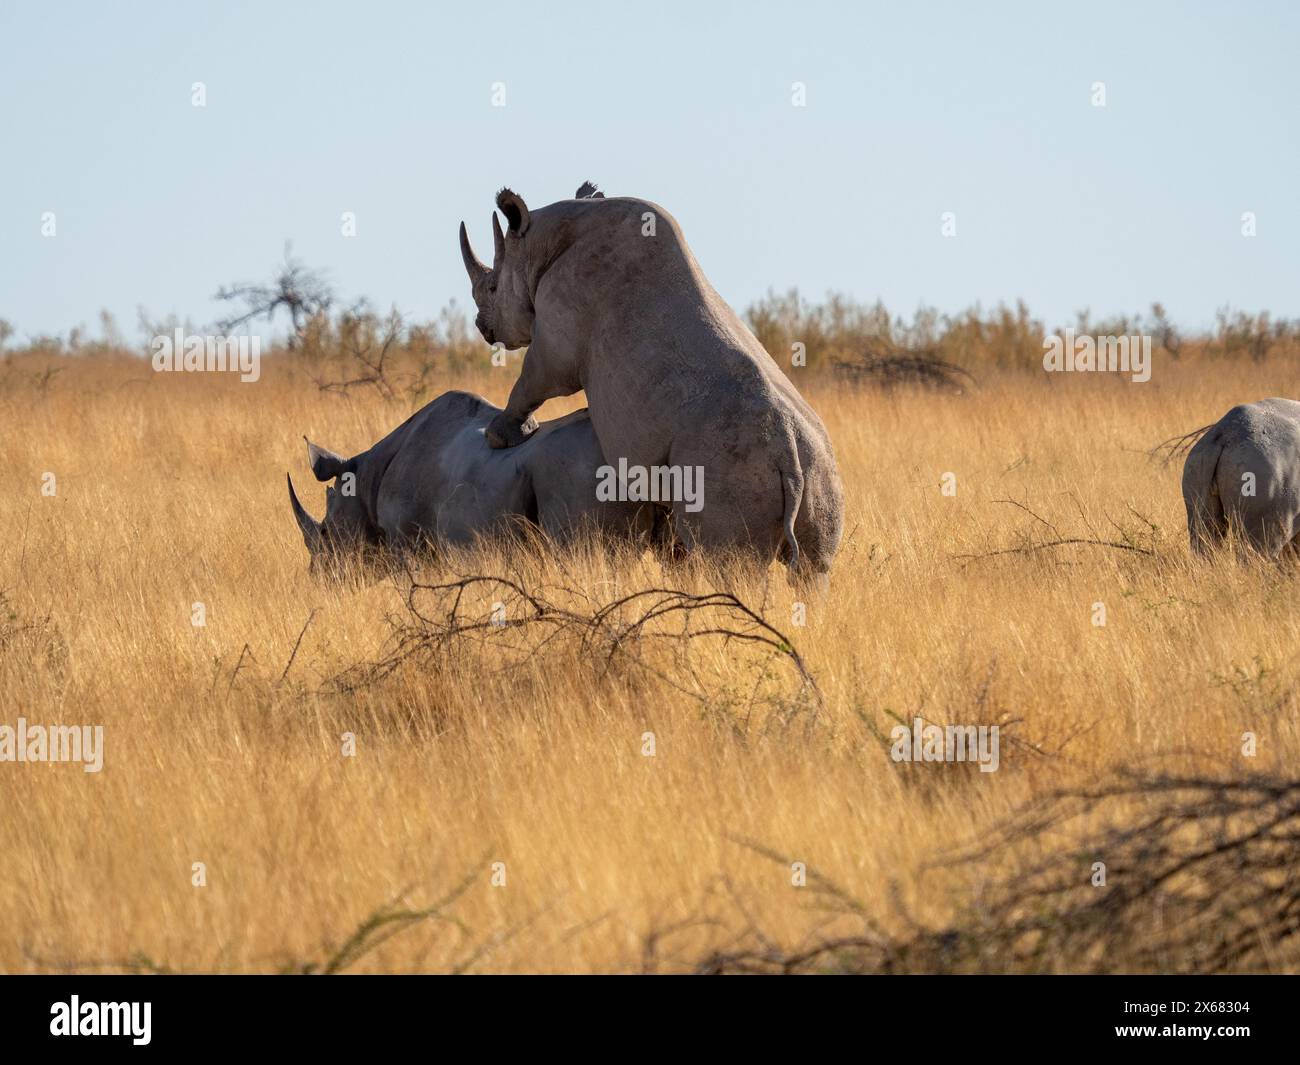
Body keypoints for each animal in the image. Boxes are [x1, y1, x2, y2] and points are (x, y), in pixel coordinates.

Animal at [457, 182, 844, 581]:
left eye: (493, 288)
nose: (483, 327)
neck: (538, 245)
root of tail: (790, 459)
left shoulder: (556, 341)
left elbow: (531, 383)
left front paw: (497, 437)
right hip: (818, 472)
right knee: (814, 567)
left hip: (731, 464)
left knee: (730, 565)